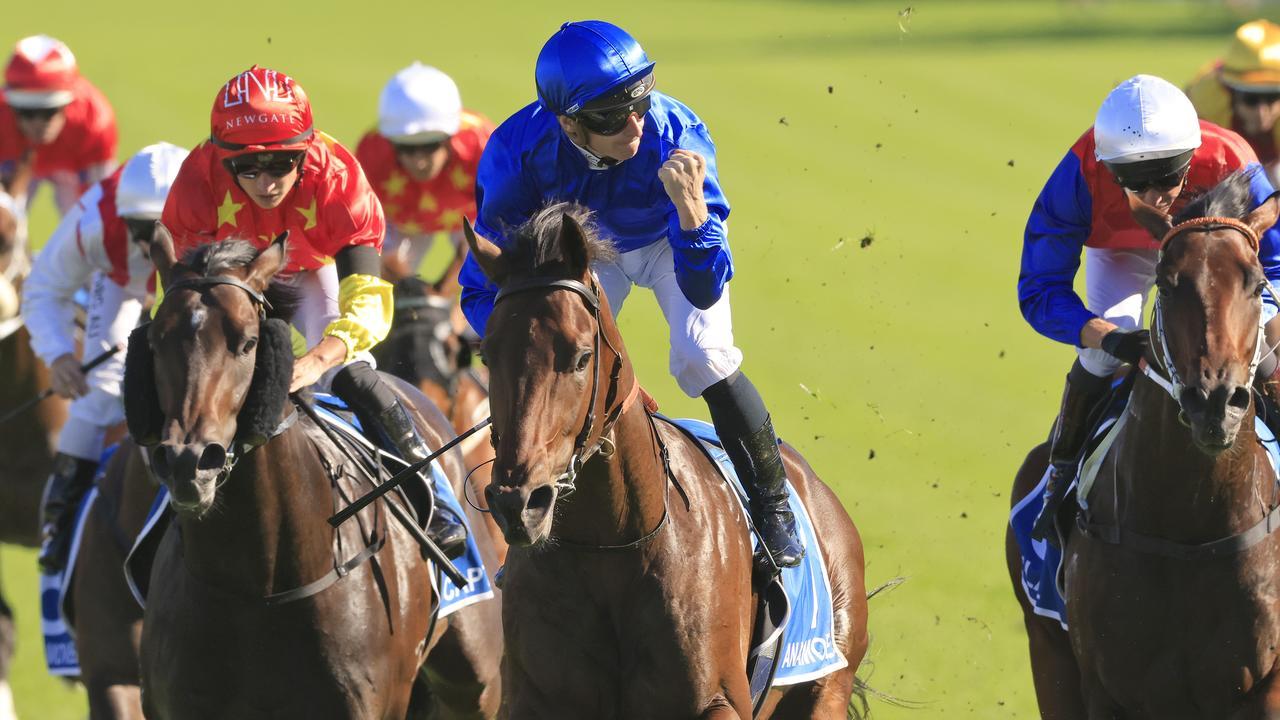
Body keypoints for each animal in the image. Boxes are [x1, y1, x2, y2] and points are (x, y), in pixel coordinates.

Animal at [460, 203, 870, 717]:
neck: (612, 546)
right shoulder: (533, 696)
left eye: (581, 357)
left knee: (707, 361)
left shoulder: (719, 699)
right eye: (487, 355)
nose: (519, 503)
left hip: (826, 687)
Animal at [1008, 170, 1280, 712]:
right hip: (1048, 654)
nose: (1215, 401)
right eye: (1167, 285)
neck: (1191, 532)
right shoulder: (1107, 688)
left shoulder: (1264, 687)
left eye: (1259, 284)